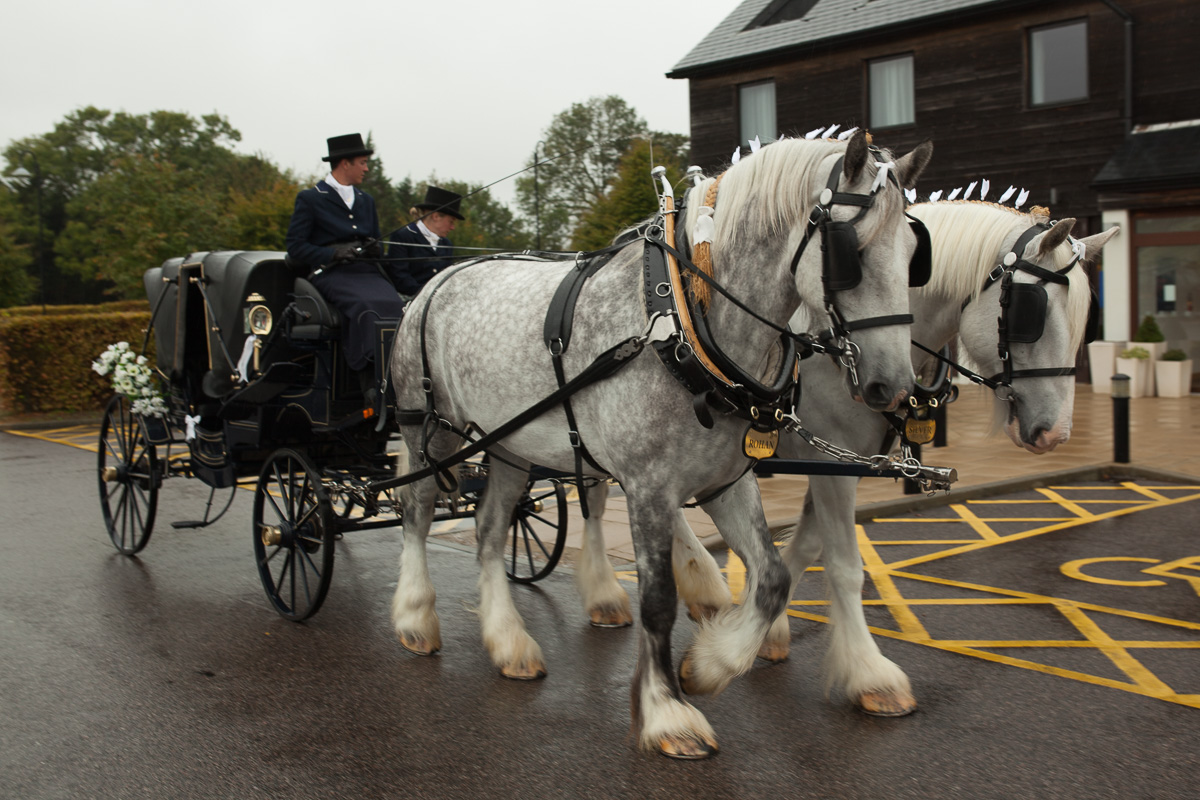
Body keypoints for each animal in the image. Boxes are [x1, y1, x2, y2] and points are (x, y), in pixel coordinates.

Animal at [388, 131, 931, 758]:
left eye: (914, 253)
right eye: (852, 253)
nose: (894, 387)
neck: (680, 318)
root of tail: (434, 282)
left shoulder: (726, 481)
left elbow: (772, 579)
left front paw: (709, 665)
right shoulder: (648, 486)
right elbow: (658, 600)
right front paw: (668, 711)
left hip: (510, 447)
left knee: (490, 526)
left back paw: (509, 643)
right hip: (426, 428)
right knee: (417, 511)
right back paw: (415, 617)